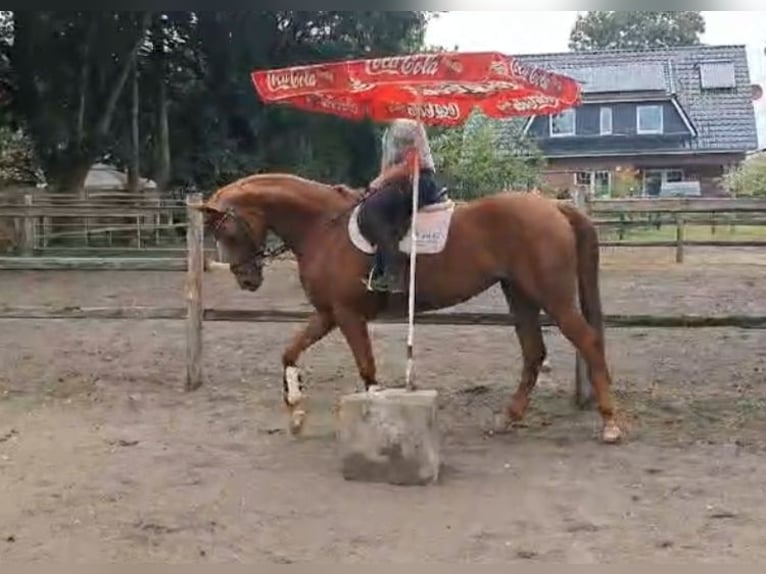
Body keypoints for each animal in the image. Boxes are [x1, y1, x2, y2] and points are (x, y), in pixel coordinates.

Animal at [194, 172, 624, 446]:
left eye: (227, 232)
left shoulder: (347, 315)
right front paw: (297, 412)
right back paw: (507, 419)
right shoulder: (329, 313)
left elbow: (368, 372)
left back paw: (610, 424)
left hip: (552, 296)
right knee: (534, 352)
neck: (323, 227)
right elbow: (289, 352)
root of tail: (555, 207)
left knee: (588, 342)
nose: (247, 280)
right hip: (519, 294)